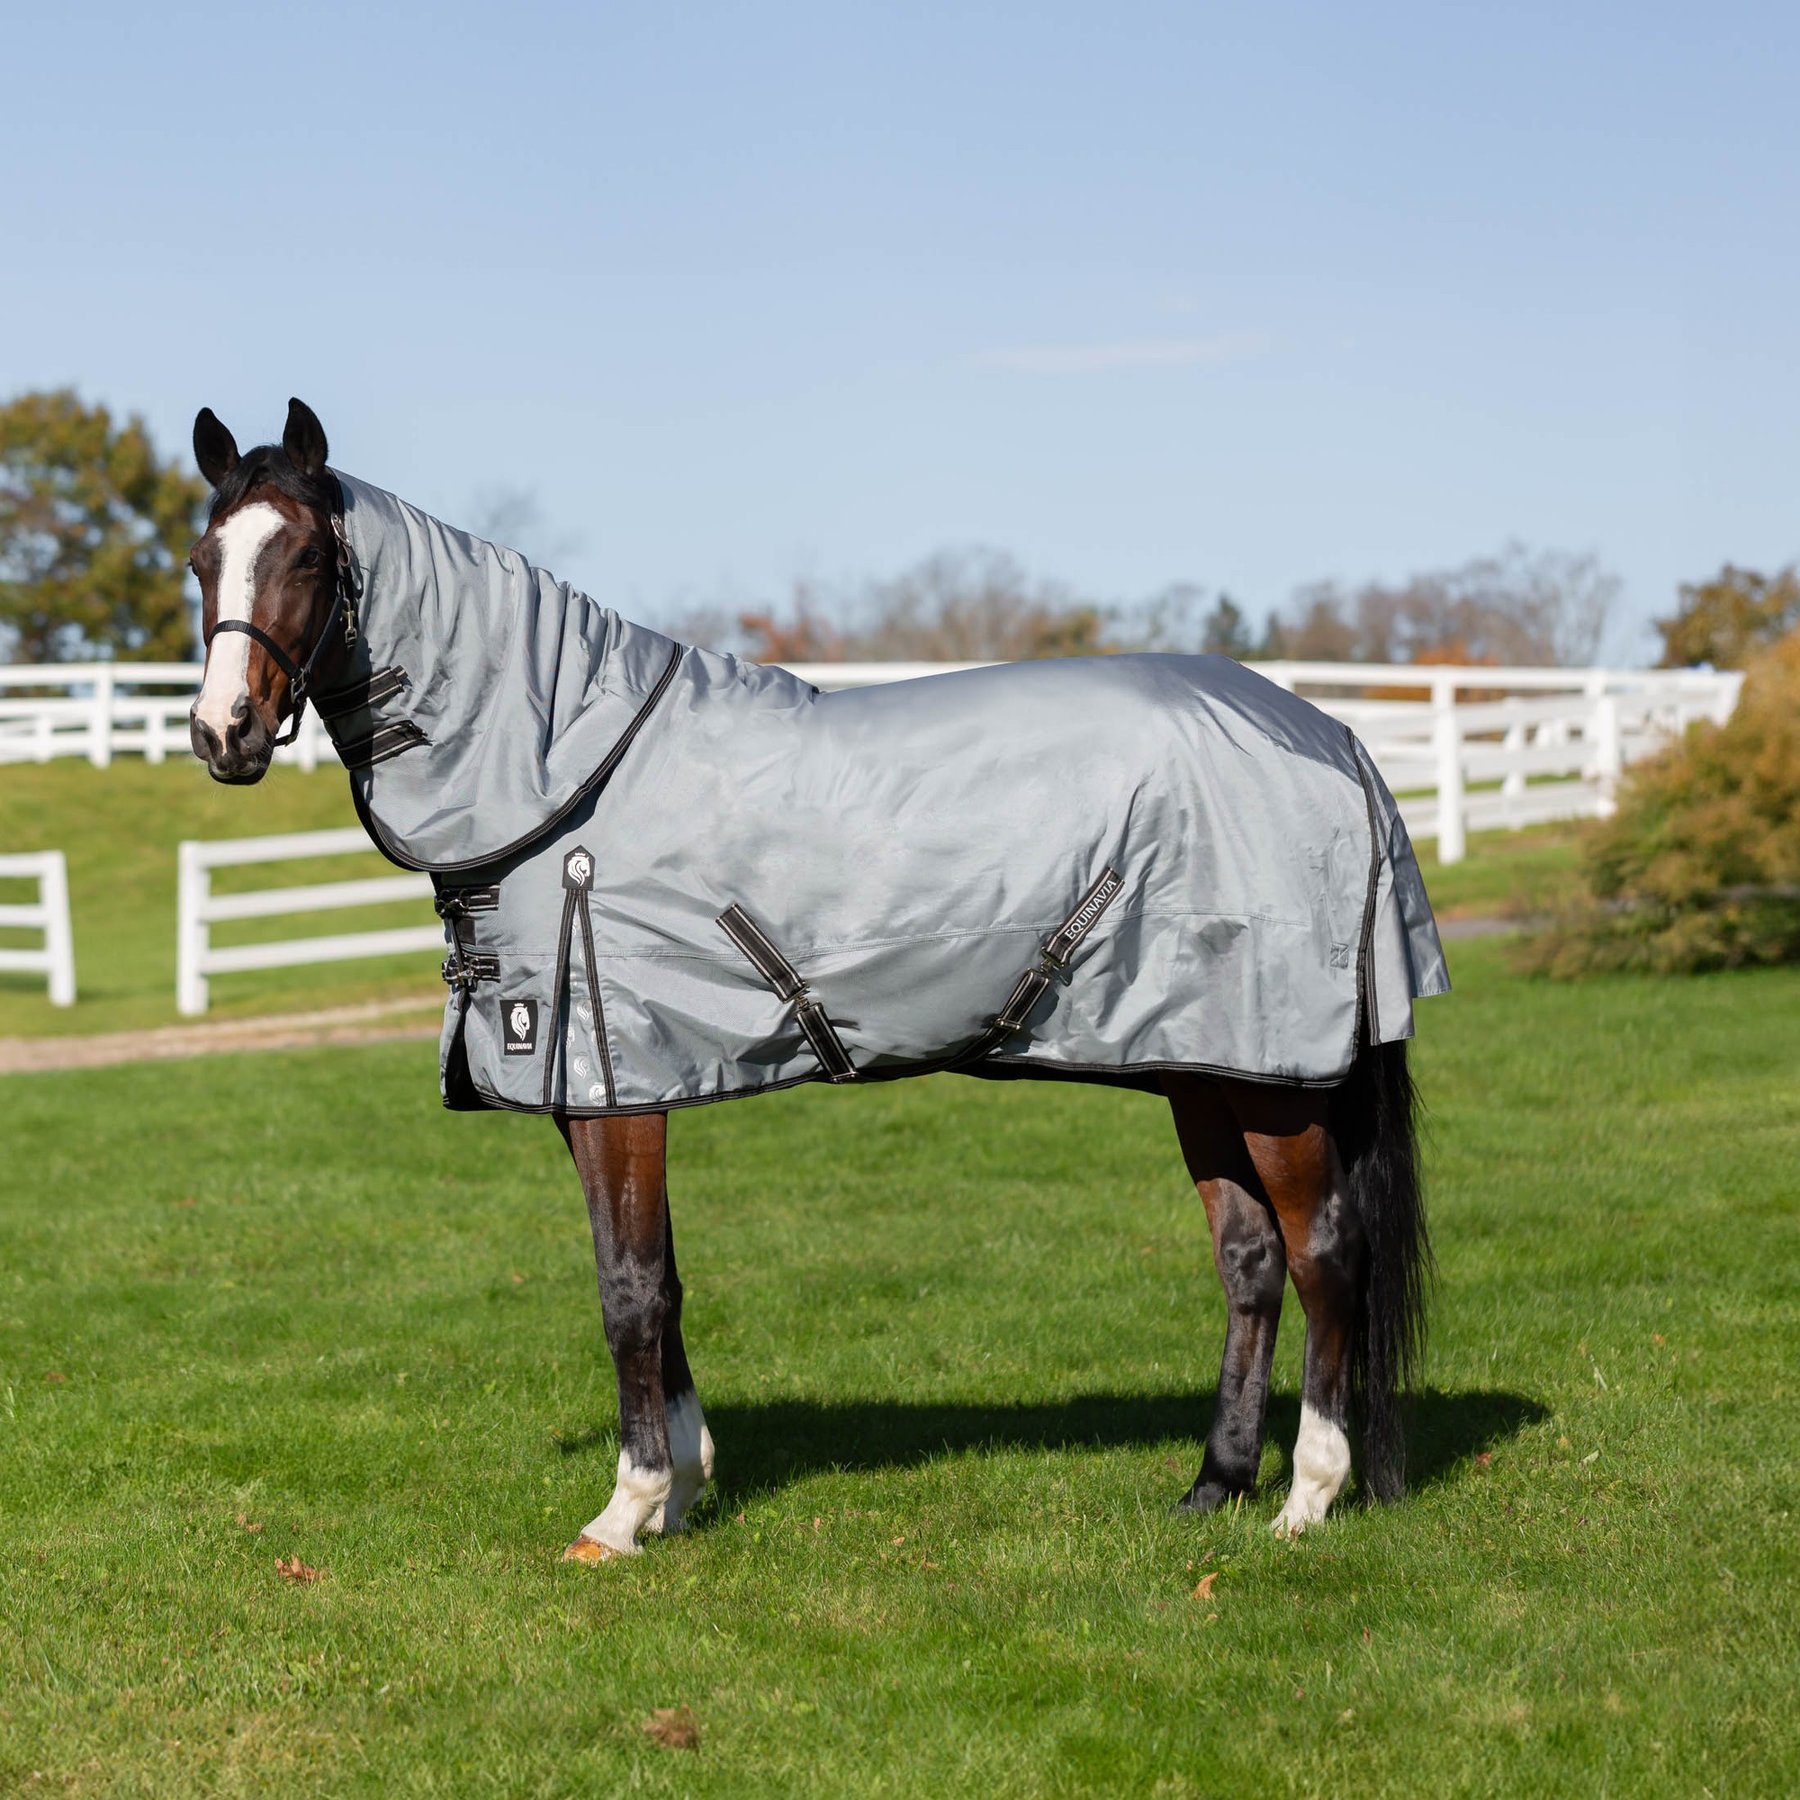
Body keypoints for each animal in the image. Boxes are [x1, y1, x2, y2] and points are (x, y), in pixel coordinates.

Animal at [185, 397, 1440, 1562]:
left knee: (1325, 1253)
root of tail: (1335, 738)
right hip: (1202, 1066)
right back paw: (1213, 1485)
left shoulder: (616, 1086)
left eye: (305, 556)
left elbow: (628, 1287)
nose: (221, 733)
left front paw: (625, 1510)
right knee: (1249, 1259)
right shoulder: (608, 1089)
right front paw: (684, 1490)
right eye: (204, 560)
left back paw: (1306, 1497)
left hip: (1274, 1084)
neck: (569, 773)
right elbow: (664, 1280)